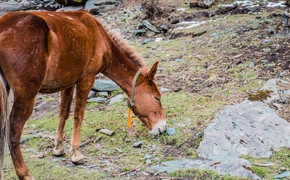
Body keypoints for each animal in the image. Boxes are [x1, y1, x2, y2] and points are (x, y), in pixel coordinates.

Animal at [0, 10, 167, 179]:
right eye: (157, 97)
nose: (163, 127)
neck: (100, 36)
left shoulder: (68, 83)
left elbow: (64, 114)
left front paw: (58, 148)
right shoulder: (87, 79)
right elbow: (78, 115)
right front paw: (76, 154)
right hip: (27, 96)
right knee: (14, 131)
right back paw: (24, 173)